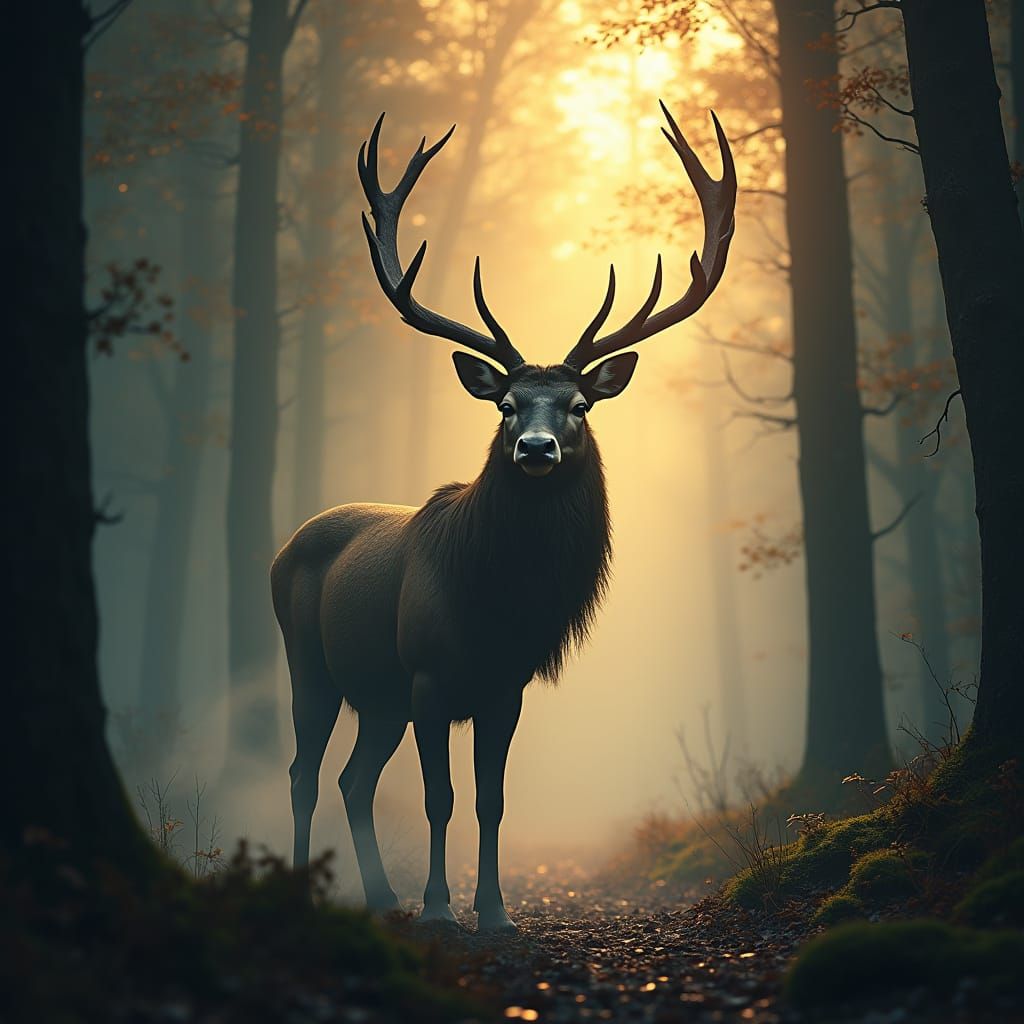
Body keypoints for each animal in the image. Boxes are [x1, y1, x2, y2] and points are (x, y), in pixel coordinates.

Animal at [271, 103, 735, 932]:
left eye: (579, 404)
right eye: (507, 404)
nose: (536, 448)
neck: (495, 605)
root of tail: (282, 548)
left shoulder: (505, 686)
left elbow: (491, 800)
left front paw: (494, 911)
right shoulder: (427, 674)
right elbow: (440, 798)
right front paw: (439, 909)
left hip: (379, 697)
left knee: (354, 780)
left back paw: (381, 895)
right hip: (310, 662)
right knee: (304, 772)